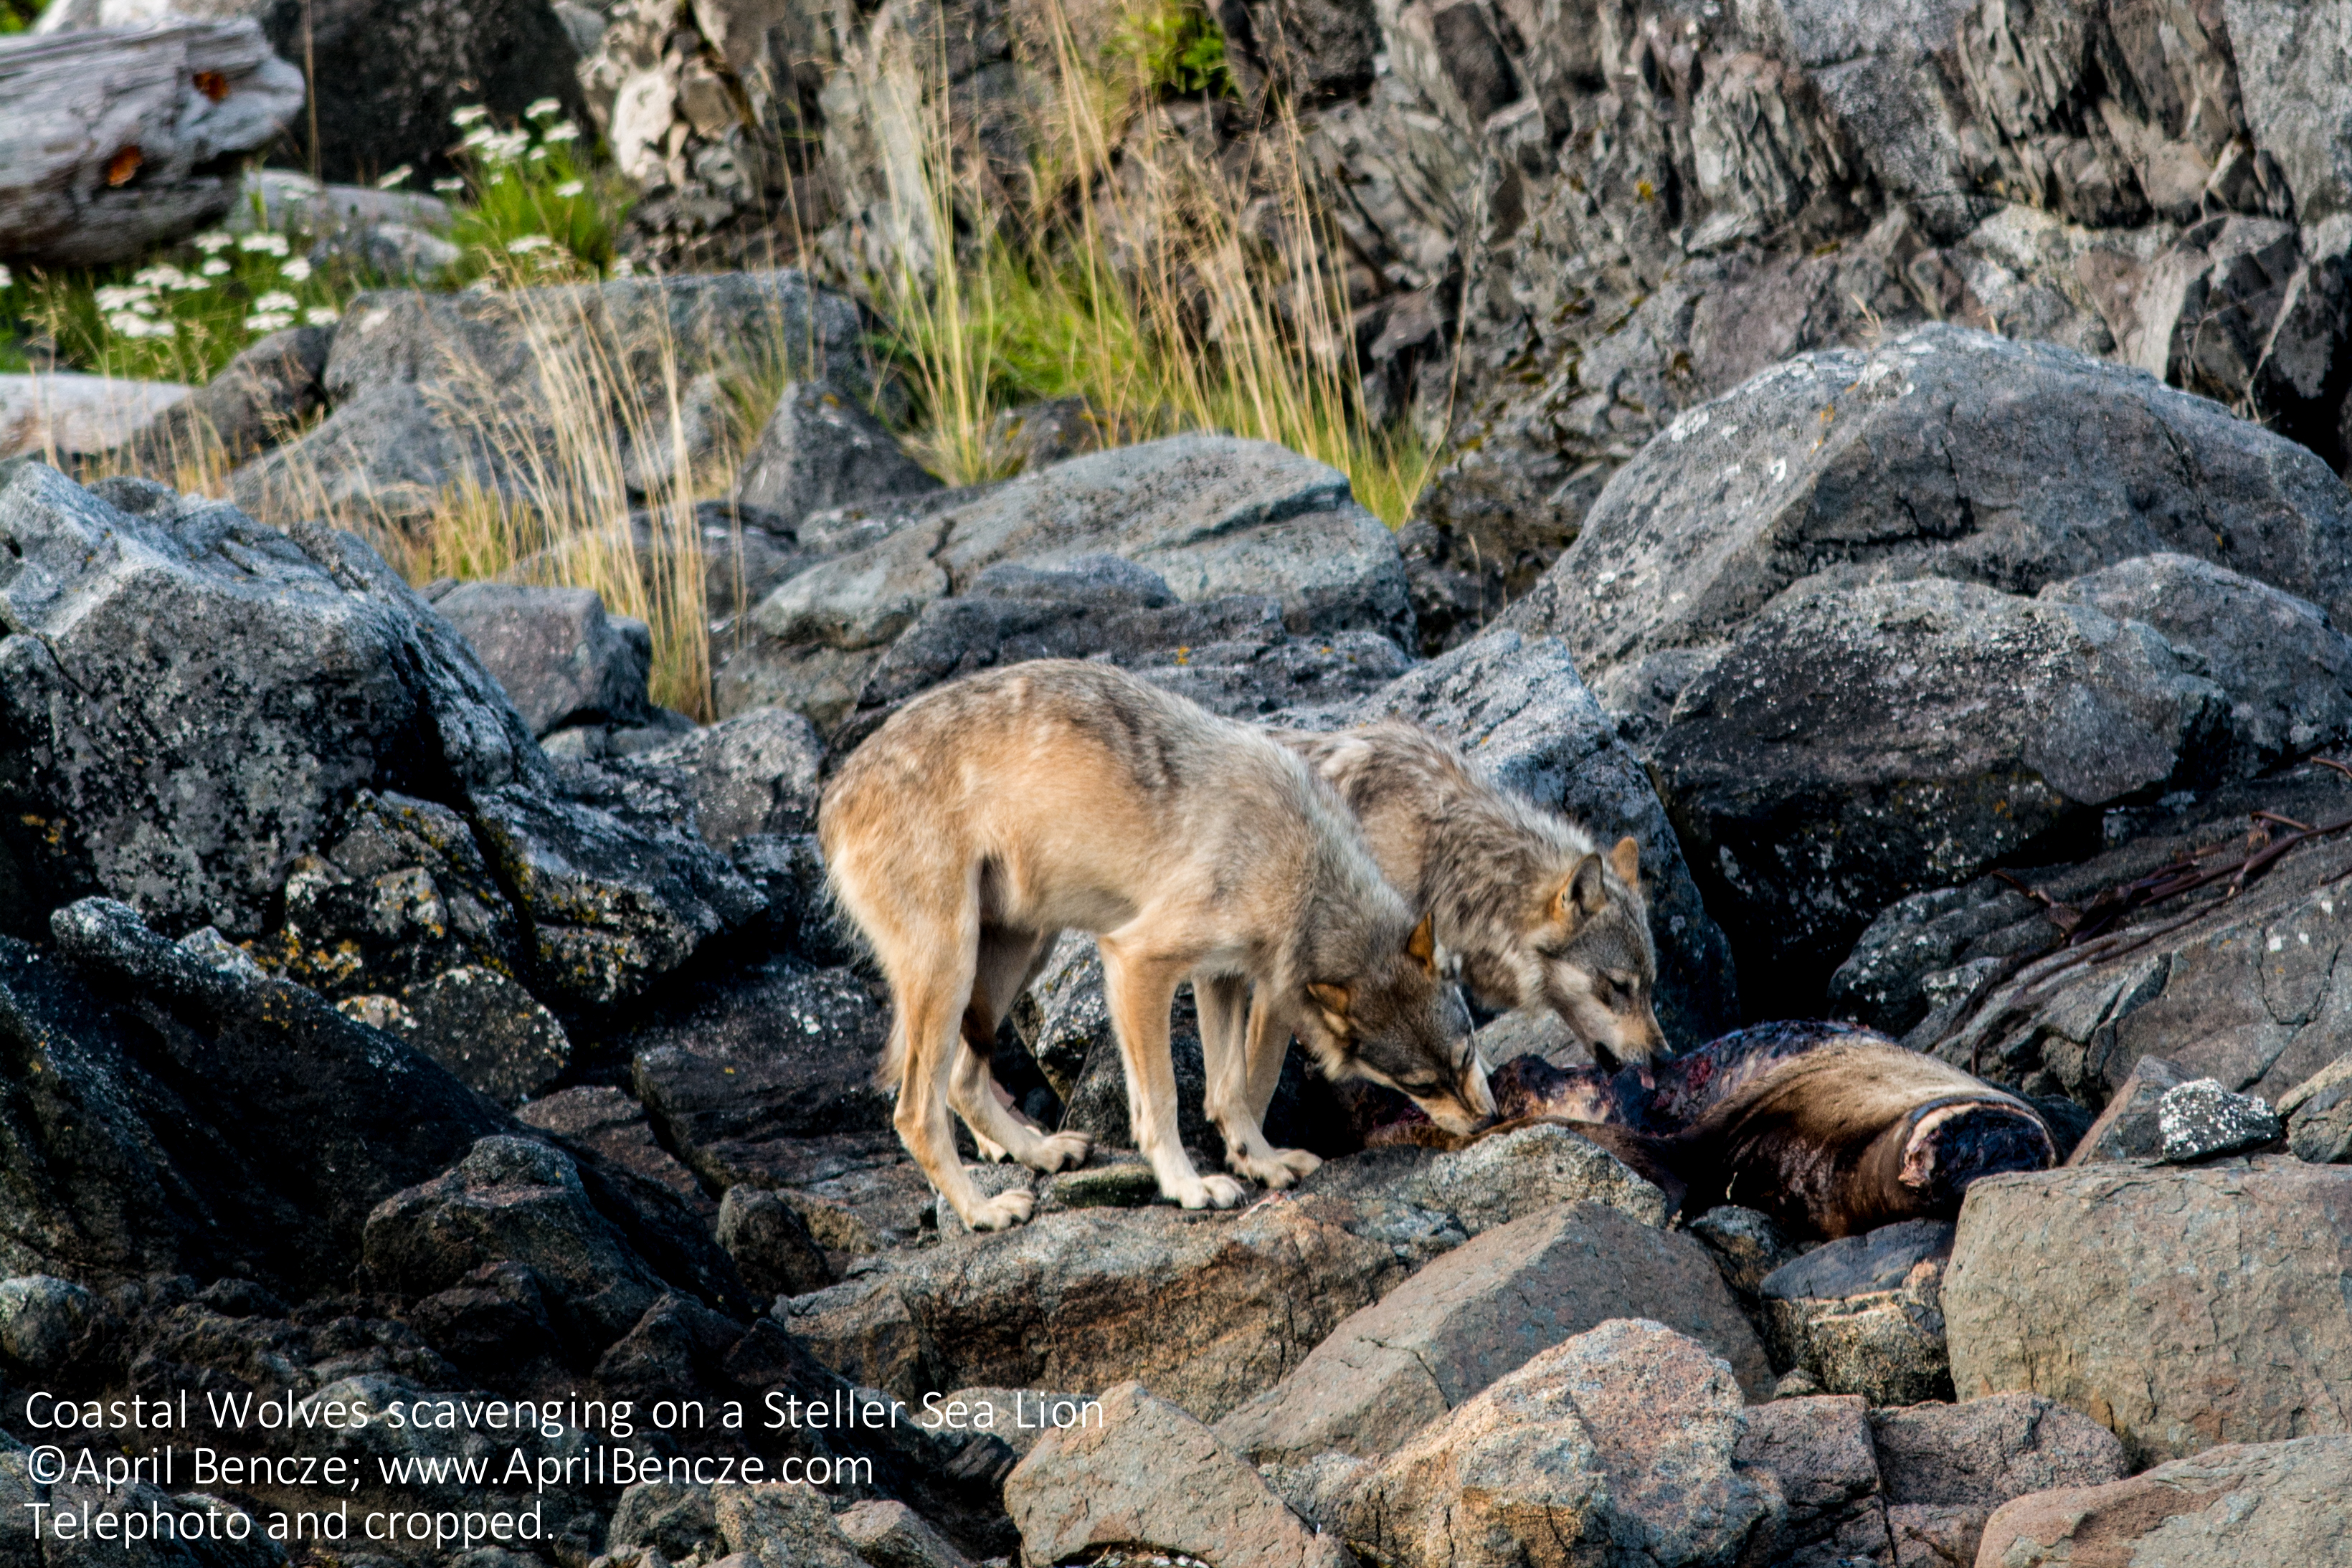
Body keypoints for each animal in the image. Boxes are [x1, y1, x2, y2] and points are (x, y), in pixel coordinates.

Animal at [828, 658, 1486, 1232]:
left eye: (1466, 1055)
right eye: (1422, 1086)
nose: (1489, 1121)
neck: (1298, 863)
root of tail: (831, 798)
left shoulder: (1221, 976)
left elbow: (1231, 1089)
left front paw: (1261, 1160)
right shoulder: (1136, 962)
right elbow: (1163, 1100)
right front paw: (1189, 1187)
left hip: (1018, 956)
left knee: (965, 1083)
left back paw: (1041, 1153)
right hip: (953, 971)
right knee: (917, 1113)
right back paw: (982, 1212)